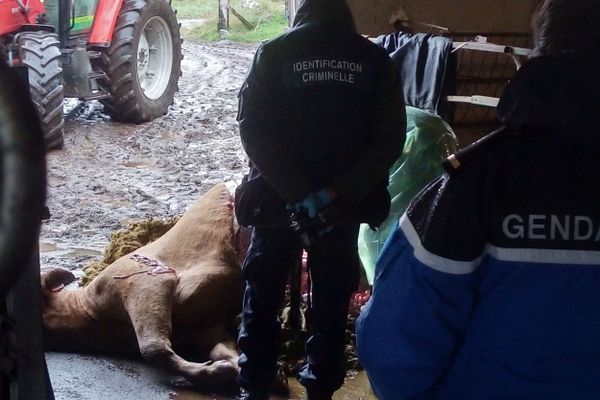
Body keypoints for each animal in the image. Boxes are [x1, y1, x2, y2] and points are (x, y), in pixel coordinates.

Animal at [41, 184, 246, 390]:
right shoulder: (207, 327)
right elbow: (222, 350)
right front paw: (227, 369)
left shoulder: (144, 282)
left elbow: (152, 348)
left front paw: (220, 371)